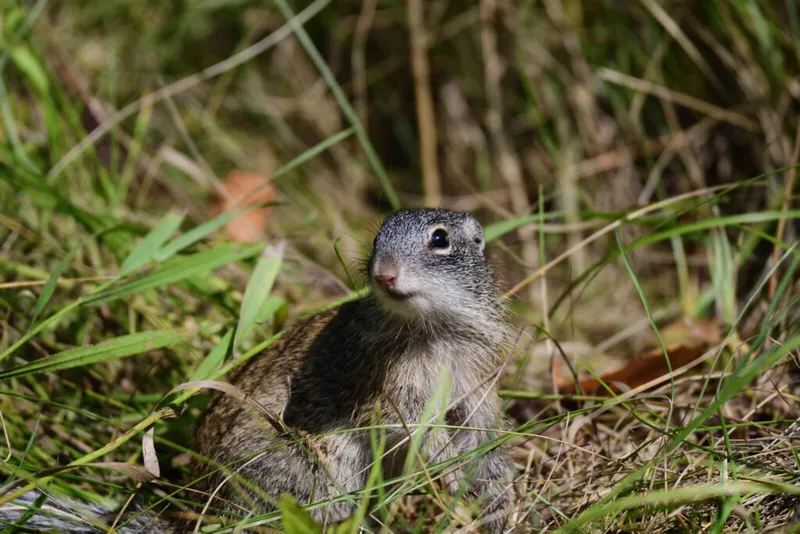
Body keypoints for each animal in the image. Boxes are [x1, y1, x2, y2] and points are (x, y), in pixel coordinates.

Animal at [0, 208, 516, 533]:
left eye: (440, 239)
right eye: (376, 239)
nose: (383, 273)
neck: (432, 328)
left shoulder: (478, 390)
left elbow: (483, 442)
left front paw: (499, 504)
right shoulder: (394, 396)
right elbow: (417, 432)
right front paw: (451, 476)